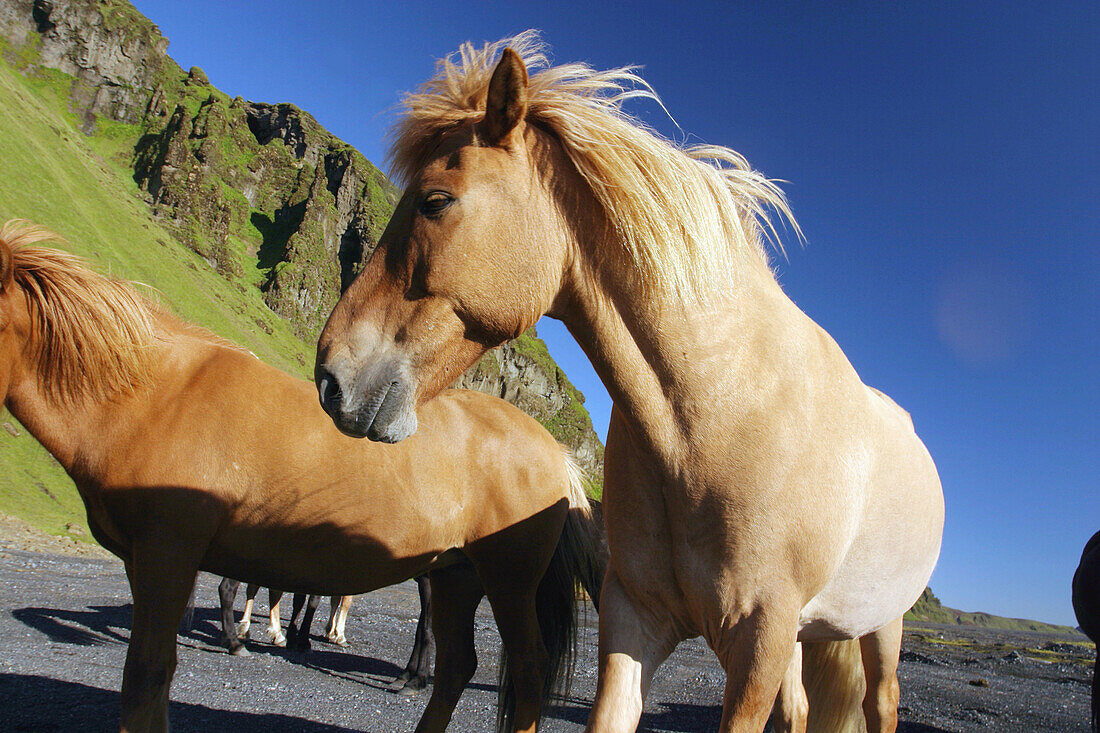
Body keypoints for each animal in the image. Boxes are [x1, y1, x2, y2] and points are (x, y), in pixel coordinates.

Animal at [0, 217, 602, 730]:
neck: (153, 395)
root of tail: (554, 453)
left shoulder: (165, 557)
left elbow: (145, 677)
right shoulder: (151, 562)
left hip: (509, 581)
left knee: (525, 671)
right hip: (455, 577)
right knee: (456, 667)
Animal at [316, 34, 946, 730]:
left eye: (434, 200)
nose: (332, 376)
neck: (718, 415)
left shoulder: (759, 643)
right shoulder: (634, 620)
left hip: (879, 629)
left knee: (881, 703)